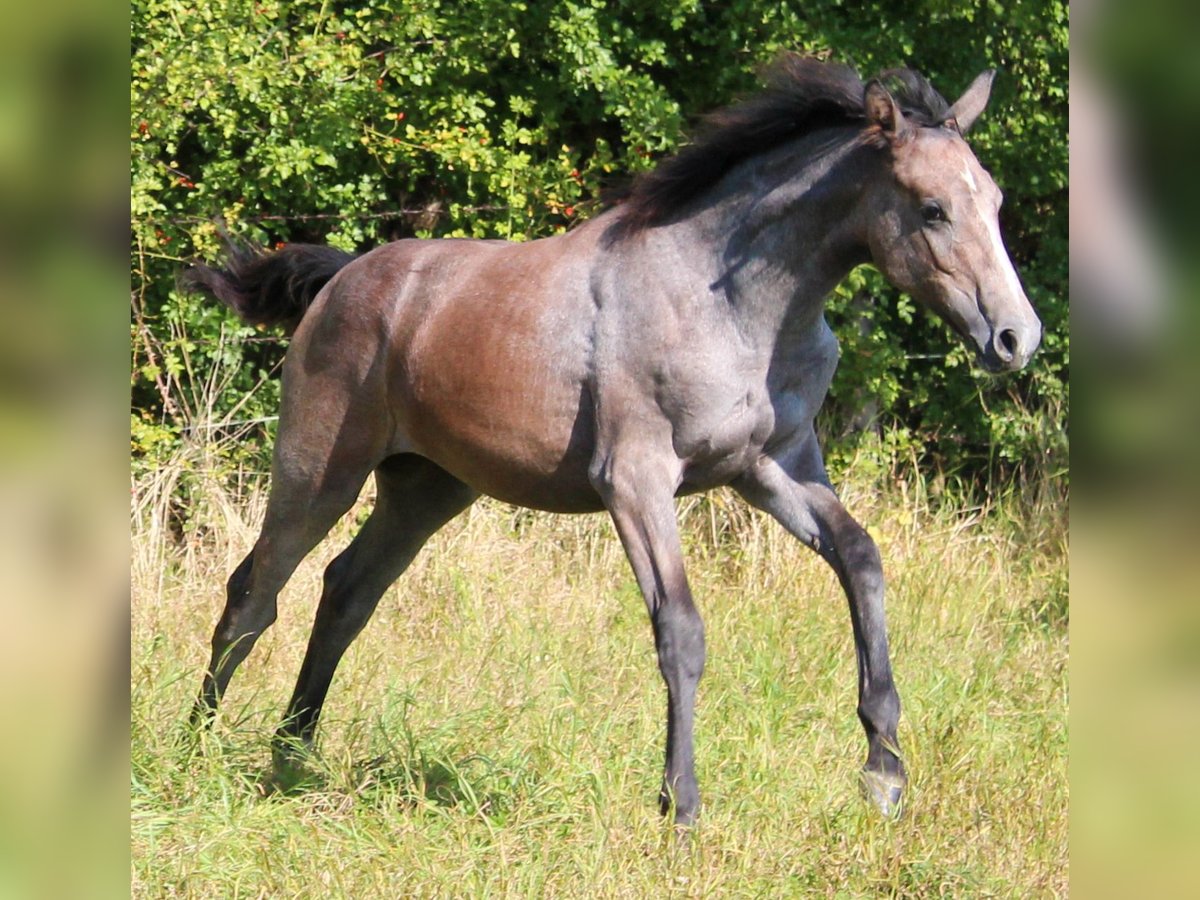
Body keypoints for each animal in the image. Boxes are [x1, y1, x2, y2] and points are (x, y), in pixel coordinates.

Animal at [184, 56, 1041, 830]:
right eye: (931, 209)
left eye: (995, 200)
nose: (1015, 338)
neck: (726, 301)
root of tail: (342, 279)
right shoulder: (636, 479)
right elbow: (682, 628)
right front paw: (681, 807)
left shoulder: (772, 469)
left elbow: (862, 562)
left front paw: (884, 777)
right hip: (320, 467)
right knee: (255, 592)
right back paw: (200, 744)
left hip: (425, 488)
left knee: (347, 591)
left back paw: (292, 753)